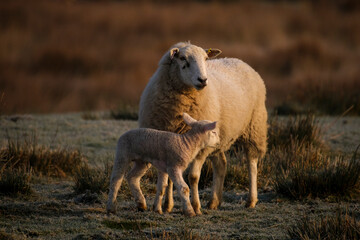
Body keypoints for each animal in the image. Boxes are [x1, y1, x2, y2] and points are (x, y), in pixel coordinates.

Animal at [136, 42, 266, 215]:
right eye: (182, 58)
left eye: (205, 58)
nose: (203, 80)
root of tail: (239, 60)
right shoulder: (167, 146)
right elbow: (169, 177)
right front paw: (168, 206)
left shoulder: (200, 148)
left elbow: (193, 177)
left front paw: (195, 206)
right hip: (219, 137)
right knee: (221, 164)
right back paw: (214, 202)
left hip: (254, 127)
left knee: (251, 163)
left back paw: (251, 200)